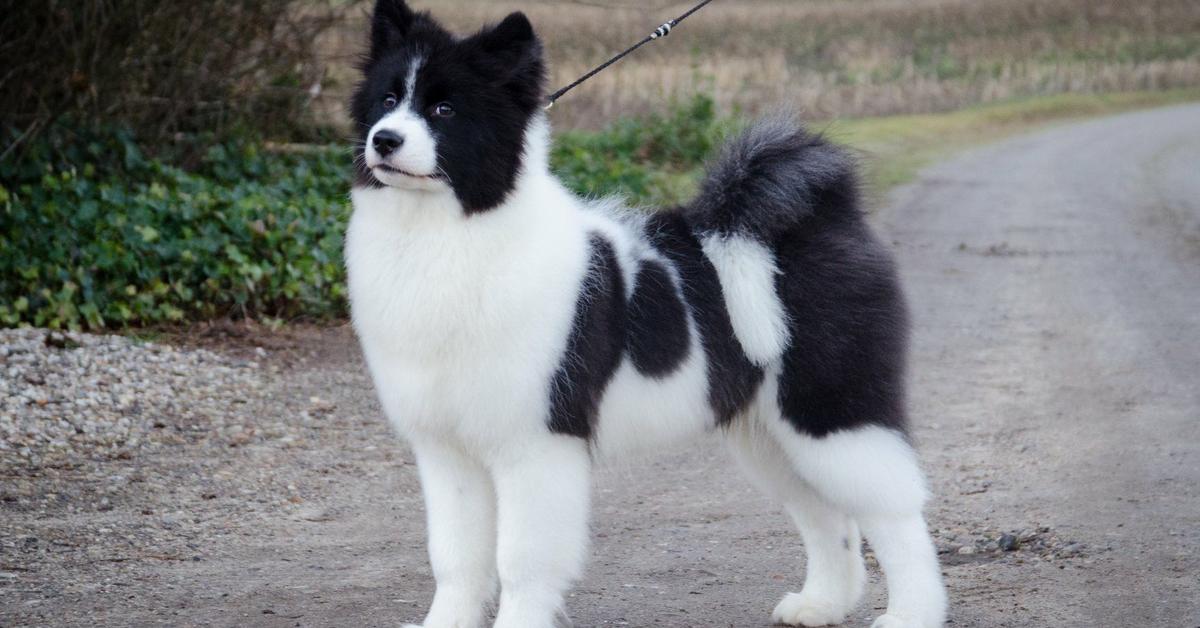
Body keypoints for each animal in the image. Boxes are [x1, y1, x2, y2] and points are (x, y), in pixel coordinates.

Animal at [345, 2, 945, 624]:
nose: (384, 140)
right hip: (770, 433)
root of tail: (819, 219)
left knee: (896, 514)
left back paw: (911, 612)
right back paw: (820, 604)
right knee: (826, 515)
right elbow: (456, 558)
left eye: (444, 109)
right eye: (387, 99)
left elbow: (522, 561)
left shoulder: (535, 443)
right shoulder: (446, 450)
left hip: (829, 412)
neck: (446, 233)